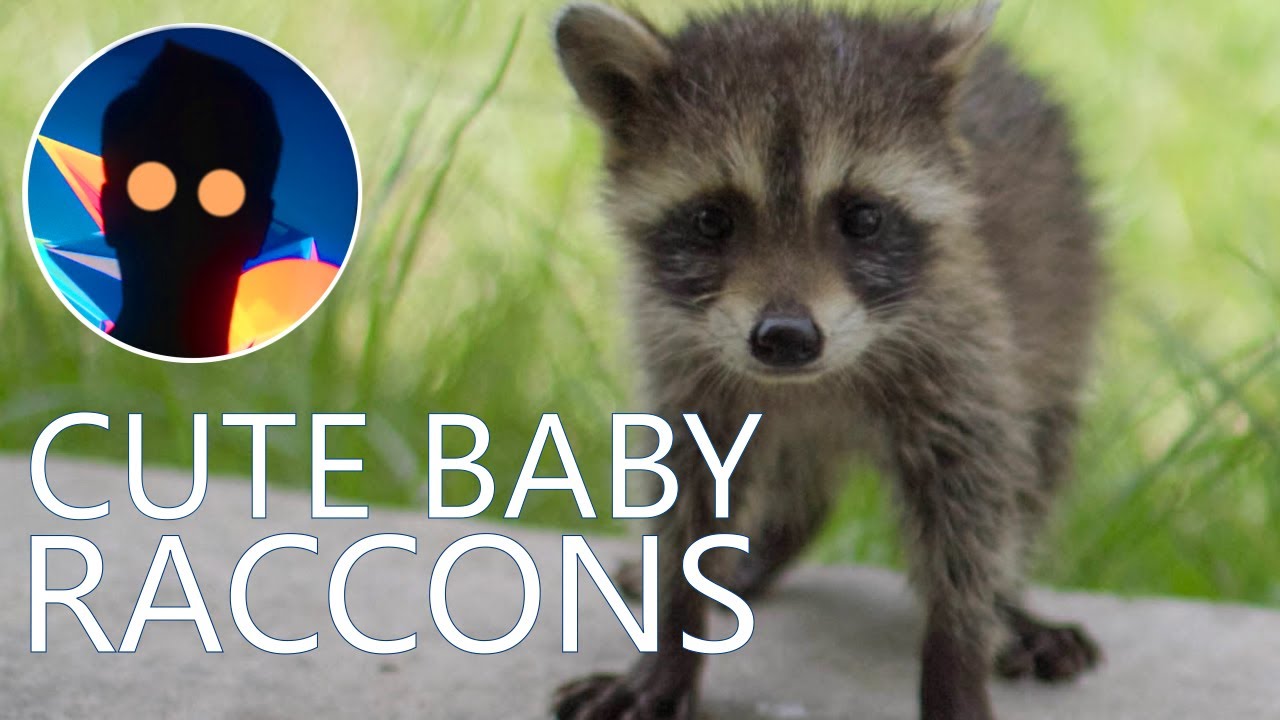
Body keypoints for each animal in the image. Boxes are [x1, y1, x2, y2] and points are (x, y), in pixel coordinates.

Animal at [552, 2, 1101, 718]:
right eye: (711, 220)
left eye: (863, 218)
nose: (786, 336)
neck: (816, 378)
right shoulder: (682, 364)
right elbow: (686, 496)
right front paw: (673, 636)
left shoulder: (968, 351)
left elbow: (972, 510)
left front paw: (957, 660)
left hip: (1062, 329)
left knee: (1033, 463)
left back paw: (1010, 608)